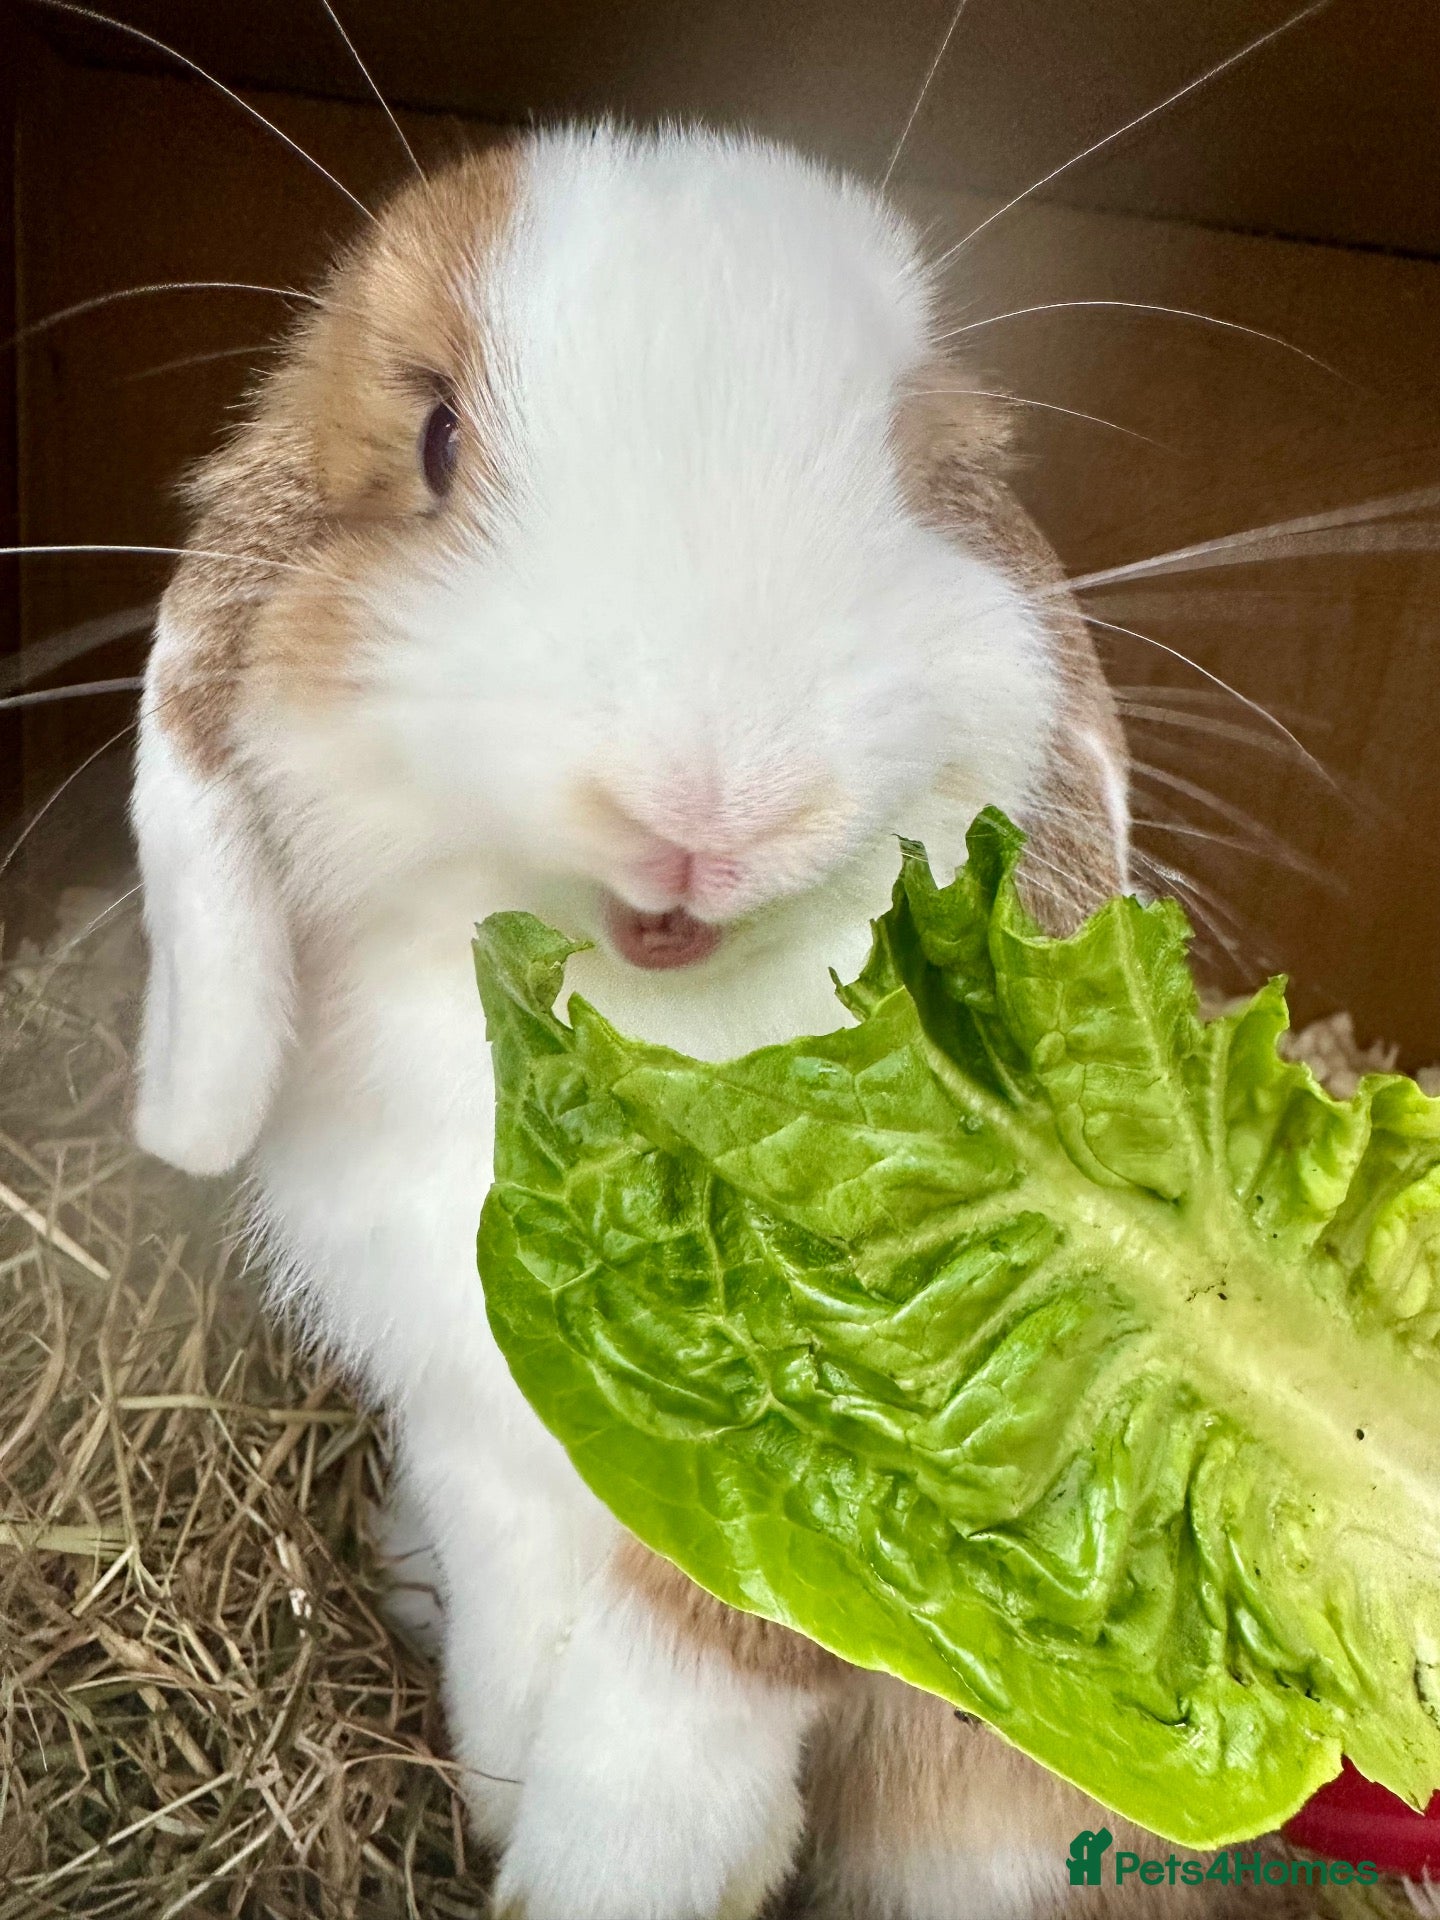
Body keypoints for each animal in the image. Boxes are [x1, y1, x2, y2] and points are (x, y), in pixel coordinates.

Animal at [128, 122, 1273, 1920]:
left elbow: (680, 1704)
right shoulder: (477, 1439)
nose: (711, 802)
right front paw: (502, 1801)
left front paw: (595, 1878)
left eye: (913, 465)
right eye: (436, 434)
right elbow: (525, 1643)